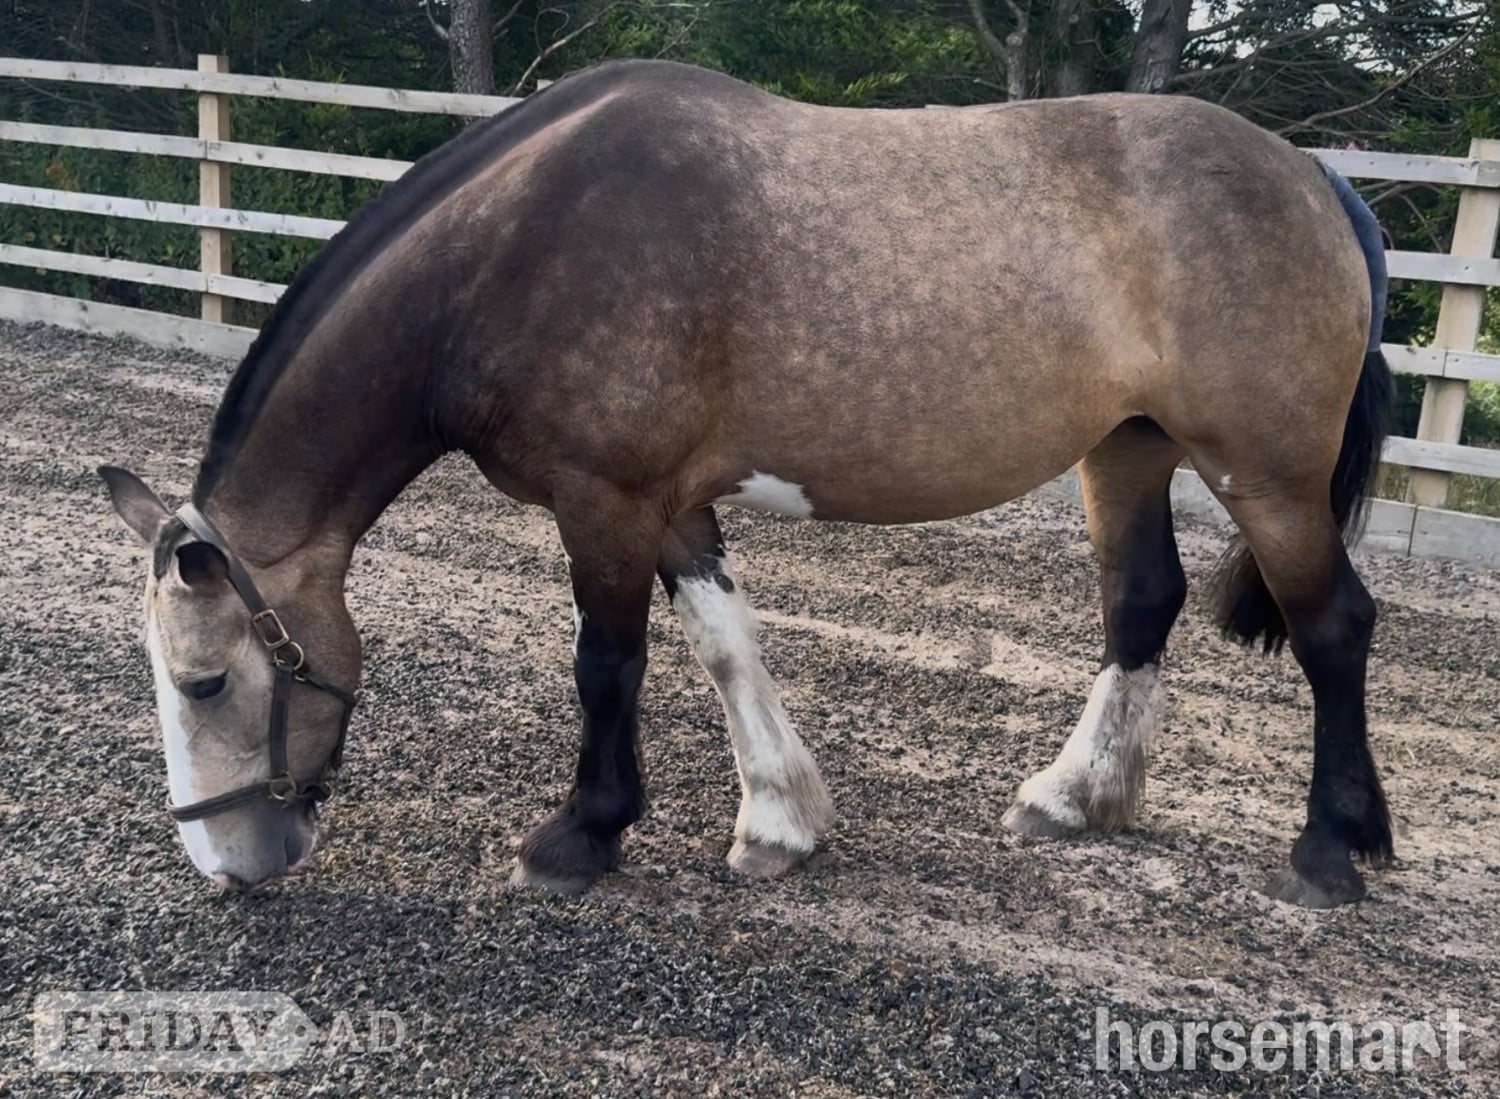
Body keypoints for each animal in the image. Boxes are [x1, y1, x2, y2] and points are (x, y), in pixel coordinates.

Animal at [100, 58, 1394, 908]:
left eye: (206, 682)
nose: (226, 865)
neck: (514, 249)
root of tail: (1314, 176)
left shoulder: (605, 498)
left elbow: (608, 662)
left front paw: (581, 834)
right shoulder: (669, 502)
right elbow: (727, 643)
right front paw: (781, 819)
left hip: (1266, 474)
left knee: (1334, 625)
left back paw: (1332, 849)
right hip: (1127, 447)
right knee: (1142, 604)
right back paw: (1074, 797)